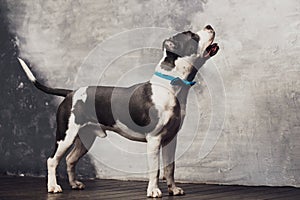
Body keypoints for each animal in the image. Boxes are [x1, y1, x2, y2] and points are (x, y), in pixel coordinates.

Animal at [19, 24, 220, 197]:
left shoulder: (171, 139)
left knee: (70, 159)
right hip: (65, 136)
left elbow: (170, 168)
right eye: (193, 36)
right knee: (52, 160)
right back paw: (53, 187)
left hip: (86, 138)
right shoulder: (154, 140)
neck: (170, 86)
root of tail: (70, 93)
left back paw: (75, 184)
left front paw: (173, 189)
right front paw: (154, 191)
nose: (209, 26)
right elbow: (155, 169)